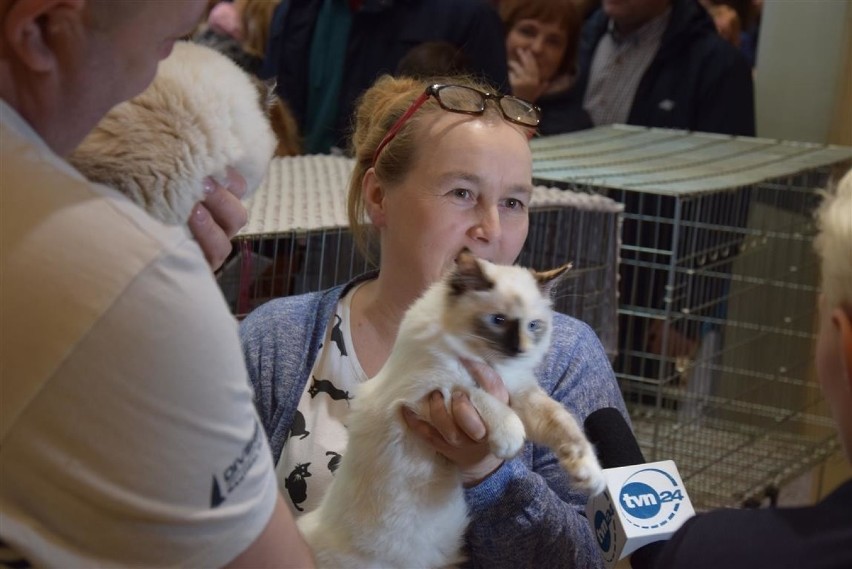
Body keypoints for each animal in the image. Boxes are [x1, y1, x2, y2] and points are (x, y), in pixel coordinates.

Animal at [300, 252, 604, 568]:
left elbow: (565, 425)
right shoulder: (427, 392)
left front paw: (590, 477)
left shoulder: (520, 392)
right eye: (498, 320)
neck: (487, 360)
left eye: (533, 325)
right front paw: (510, 438)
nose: (520, 350)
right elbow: (476, 394)